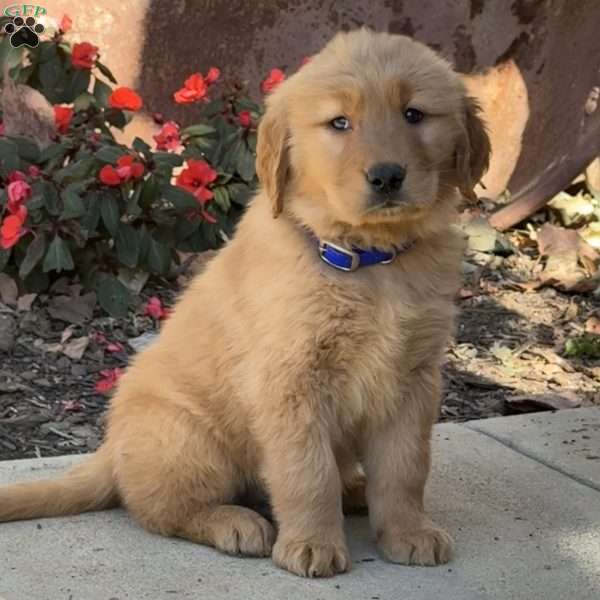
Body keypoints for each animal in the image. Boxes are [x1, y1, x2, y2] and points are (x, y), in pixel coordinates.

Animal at [0, 28, 488, 576]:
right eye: (339, 123)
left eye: (414, 114)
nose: (386, 176)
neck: (370, 263)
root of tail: (112, 448)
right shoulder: (290, 380)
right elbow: (306, 471)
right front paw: (312, 543)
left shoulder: (414, 378)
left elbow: (406, 467)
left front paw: (408, 532)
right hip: (188, 438)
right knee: (157, 509)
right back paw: (235, 523)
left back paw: (355, 490)